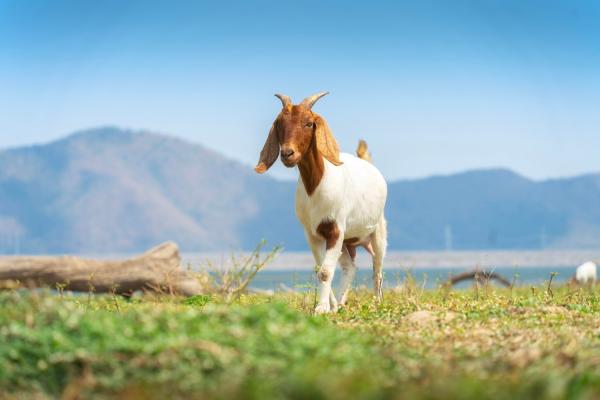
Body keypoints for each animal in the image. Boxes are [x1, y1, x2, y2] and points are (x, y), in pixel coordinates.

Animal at [254, 92, 386, 314]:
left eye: (309, 123)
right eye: (279, 124)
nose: (287, 154)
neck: (316, 187)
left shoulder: (335, 229)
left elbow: (325, 271)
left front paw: (321, 308)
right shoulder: (313, 233)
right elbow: (320, 268)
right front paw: (329, 306)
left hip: (377, 231)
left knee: (377, 267)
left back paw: (377, 303)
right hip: (347, 241)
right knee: (350, 266)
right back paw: (340, 303)